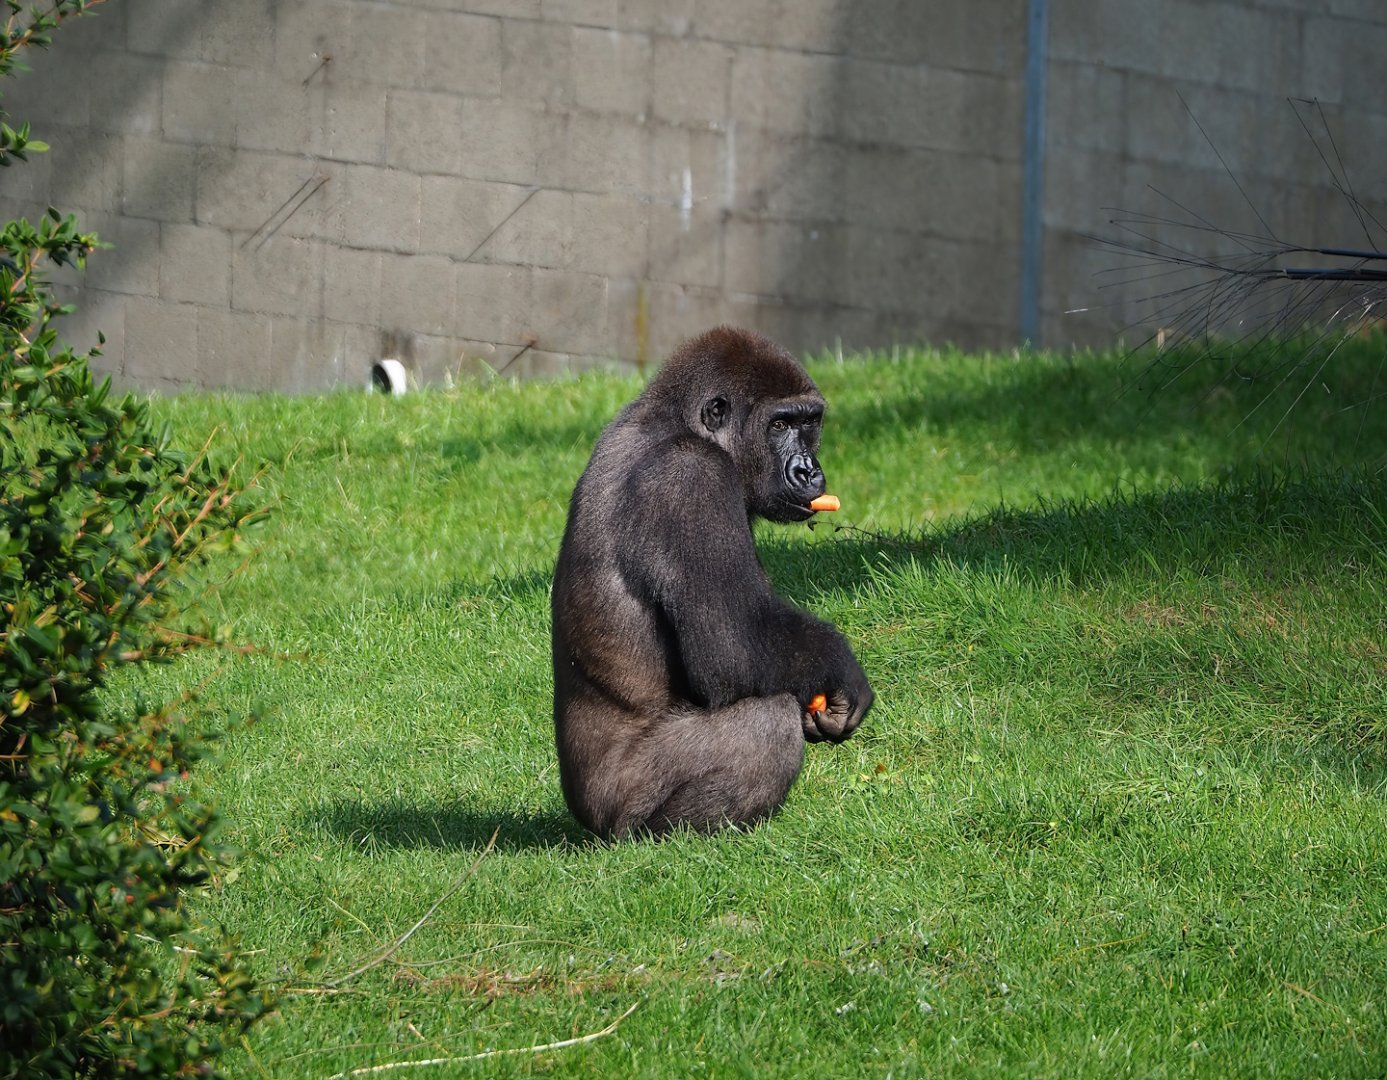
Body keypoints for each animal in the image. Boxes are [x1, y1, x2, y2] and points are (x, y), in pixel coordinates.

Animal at [551, 326, 873, 840]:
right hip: (618, 808)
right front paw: (838, 667)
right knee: (768, 724)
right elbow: (734, 648)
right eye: (779, 425)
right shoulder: (692, 479)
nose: (809, 470)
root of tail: (584, 817)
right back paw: (670, 835)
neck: (676, 421)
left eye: (809, 422)